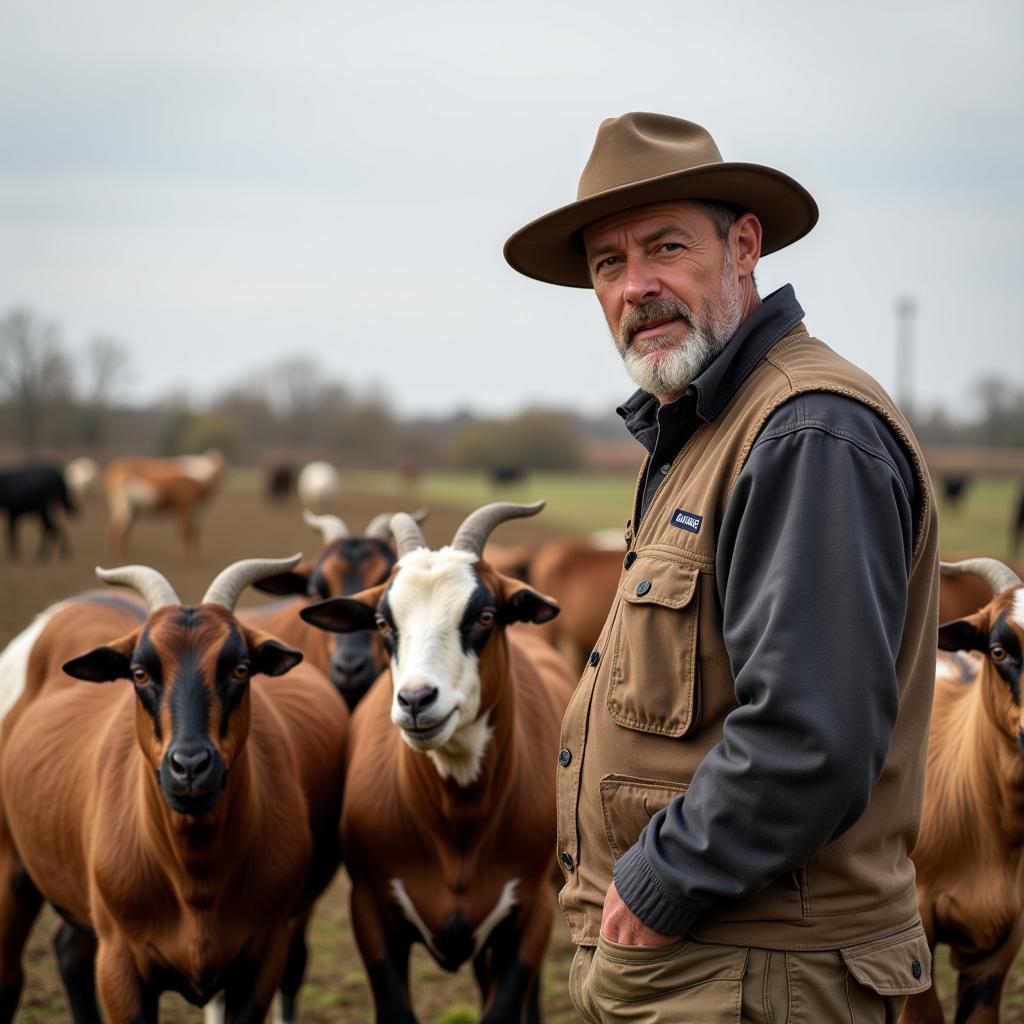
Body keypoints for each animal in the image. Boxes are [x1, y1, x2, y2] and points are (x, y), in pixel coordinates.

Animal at [0, 557, 348, 1019]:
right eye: (139, 672)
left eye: (240, 668)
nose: (189, 766)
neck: (192, 875)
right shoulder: (119, 966)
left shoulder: (263, 959)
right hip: (11, 864)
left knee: (68, 949)